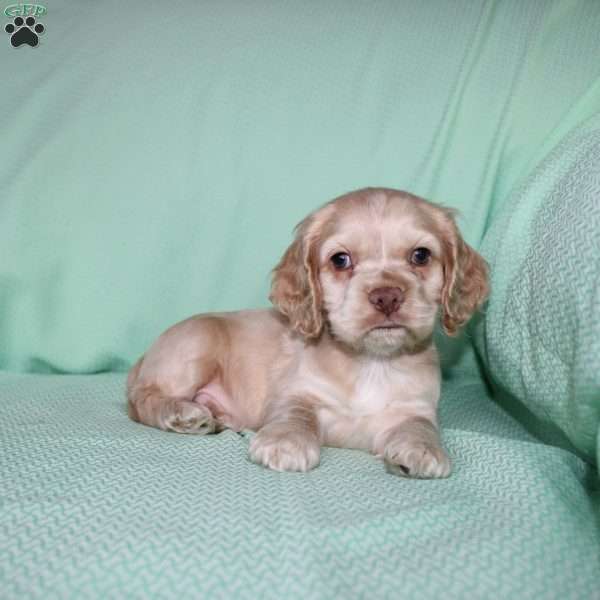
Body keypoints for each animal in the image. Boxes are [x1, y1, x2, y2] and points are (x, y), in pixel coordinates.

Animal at [126, 188, 488, 478]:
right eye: (341, 260)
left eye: (420, 255)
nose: (387, 296)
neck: (372, 363)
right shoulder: (297, 392)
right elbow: (295, 415)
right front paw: (286, 441)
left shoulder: (415, 407)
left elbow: (420, 426)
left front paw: (424, 449)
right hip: (198, 342)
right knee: (142, 399)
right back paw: (185, 414)